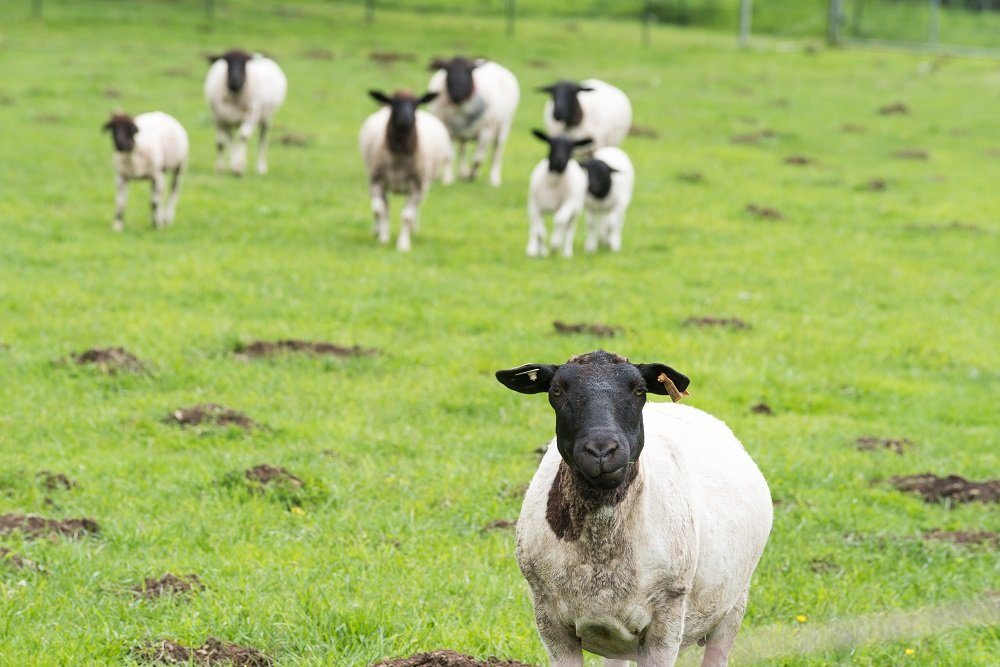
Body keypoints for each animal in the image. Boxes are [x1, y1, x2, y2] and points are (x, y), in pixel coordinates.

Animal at [360, 90, 454, 252]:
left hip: (423, 185)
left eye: (416, 104)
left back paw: (413, 230)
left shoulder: (417, 185)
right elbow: (381, 210)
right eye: (393, 103)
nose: (406, 119)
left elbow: (407, 216)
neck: (399, 156)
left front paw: (403, 245)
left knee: (415, 208)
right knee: (381, 209)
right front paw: (383, 239)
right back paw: (377, 230)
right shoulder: (377, 181)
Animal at [428, 56, 524, 188]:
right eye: (448, 70)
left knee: (496, 153)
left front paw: (472, 176)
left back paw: (494, 180)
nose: (457, 93)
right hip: (463, 133)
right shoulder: (448, 131)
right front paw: (448, 179)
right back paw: (462, 173)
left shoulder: (486, 133)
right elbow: (449, 156)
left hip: (504, 126)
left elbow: (478, 159)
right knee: (462, 149)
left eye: (469, 71)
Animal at [494, 350, 772, 667]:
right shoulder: (550, 621)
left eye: (639, 391)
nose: (602, 450)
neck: (601, 550)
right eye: (556, 391)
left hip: (733, 604)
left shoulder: (666, 620)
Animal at [524, 130, 592, 258]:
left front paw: (555, 244)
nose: (559, 161)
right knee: (534, 225)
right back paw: (532, 249)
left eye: (571, 147)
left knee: (568, 229)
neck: (554, 184)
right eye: (551, 143)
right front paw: (542, 252)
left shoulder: (569, 203)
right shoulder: (536, 206)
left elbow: (559, 220)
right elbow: (540, 231)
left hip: (576, 210)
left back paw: (566, 252)